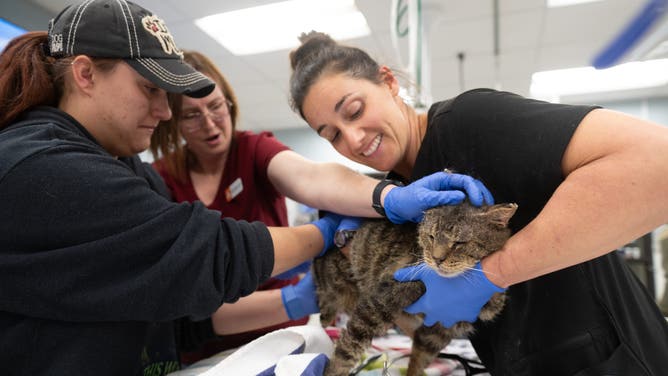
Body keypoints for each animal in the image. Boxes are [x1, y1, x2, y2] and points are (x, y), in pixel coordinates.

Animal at [312, 203, 516, 376]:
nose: (437, 259)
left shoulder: (438, 331)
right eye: (431, 237)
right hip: (330, 295)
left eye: (459, 243)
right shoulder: (377, 304)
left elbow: (418, 361)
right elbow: (346, 352)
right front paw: (332, 371)